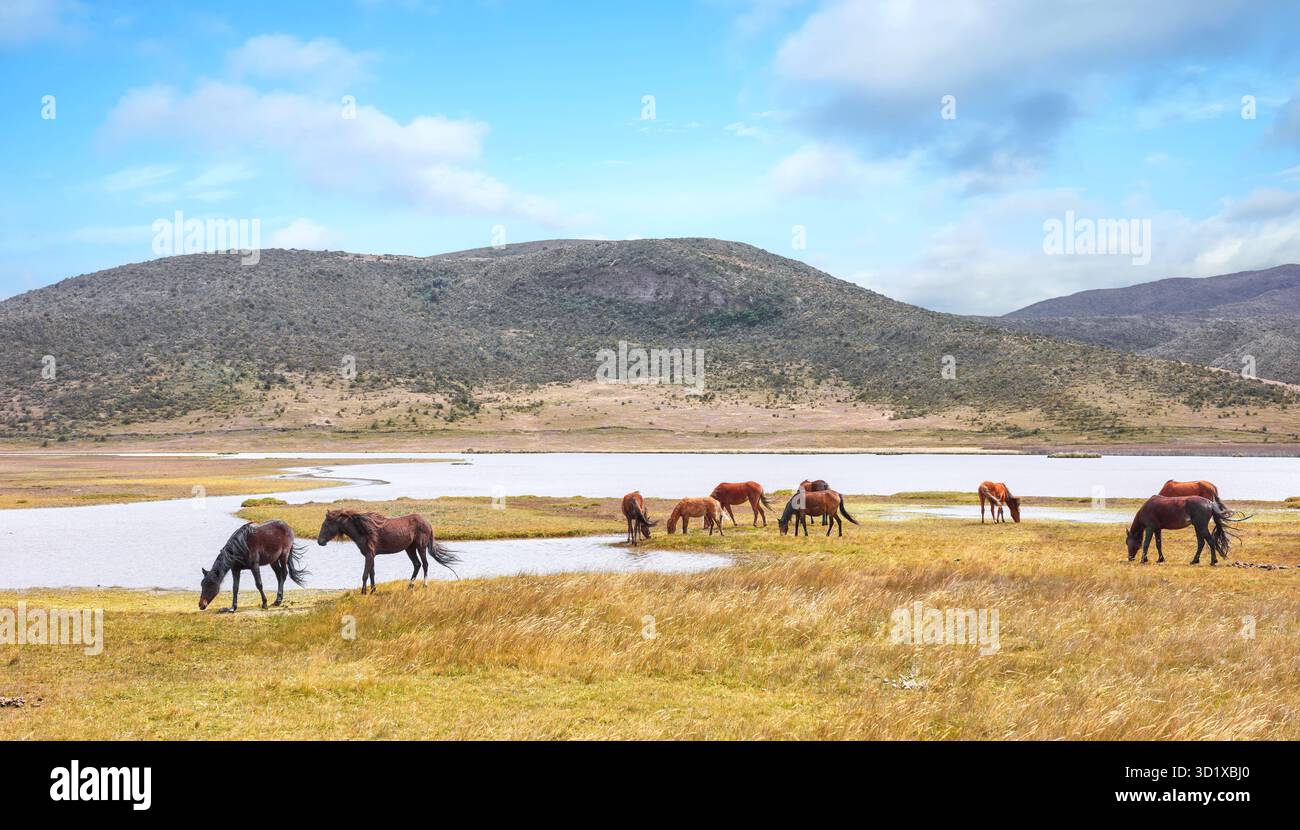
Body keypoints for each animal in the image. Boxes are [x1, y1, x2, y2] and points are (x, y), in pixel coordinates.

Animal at [317, 509, 459, 593]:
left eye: (325, 525)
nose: (319, 542)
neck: (364, 531)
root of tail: (427, 523)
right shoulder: (371, 555)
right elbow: (372, 573)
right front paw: (373, 590)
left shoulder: (369, 555)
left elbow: (365, 574)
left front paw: (363, 592)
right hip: (410, 548)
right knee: (417, 564)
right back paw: (410, 586)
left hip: (421, 547)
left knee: (425, 564)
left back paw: (424, 585)